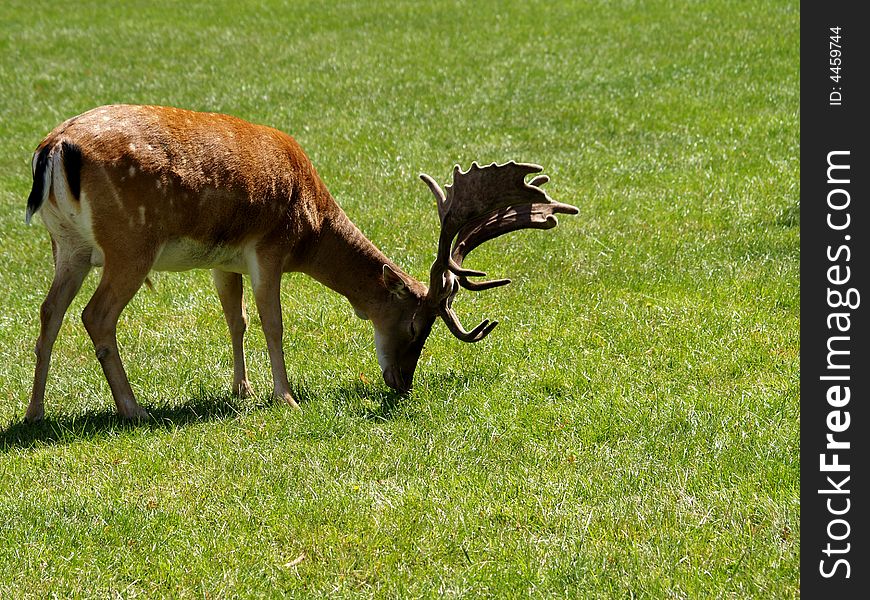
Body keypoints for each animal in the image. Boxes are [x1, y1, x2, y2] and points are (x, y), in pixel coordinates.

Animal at [22, 104, 580, 422]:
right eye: (415, 326)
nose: (402, 383)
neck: (310, 227)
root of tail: (55, 148)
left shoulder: (224, 259)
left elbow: (236, 320)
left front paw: (243, 391)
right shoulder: (269, 247)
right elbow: (273, 323)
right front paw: (285, 398)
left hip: (66, 245)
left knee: (48, 313)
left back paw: (34, 413)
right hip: (130, 243)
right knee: (95, 315)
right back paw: (133, 409)